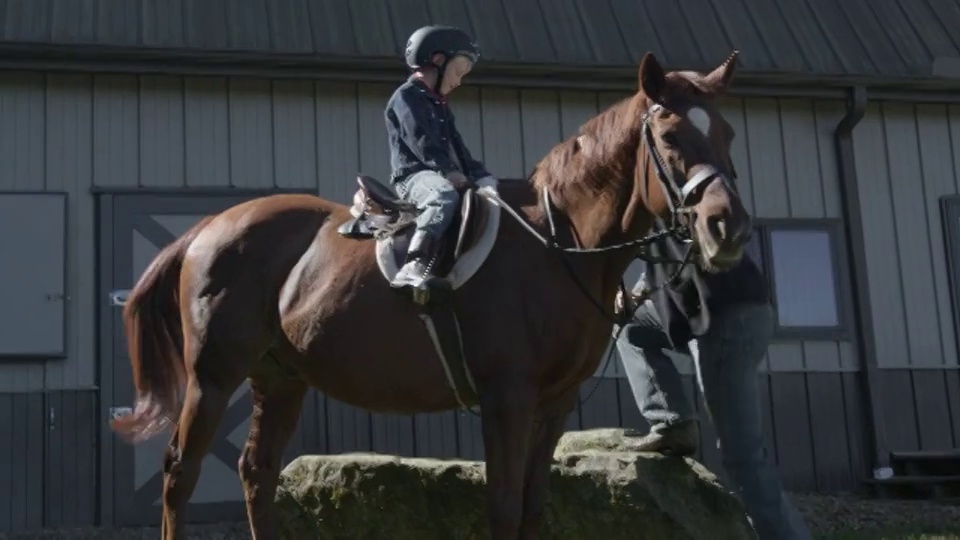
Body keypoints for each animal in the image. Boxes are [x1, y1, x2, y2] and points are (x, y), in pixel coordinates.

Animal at [110, 51, 752, 540]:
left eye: (727, 133)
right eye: (670, 135)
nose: (729, 228)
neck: (558, 242)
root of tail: (208, 227)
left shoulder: (553, 404)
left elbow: (533, 509)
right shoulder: (507, 400)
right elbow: (503, 509)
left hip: (280, 377)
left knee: (257, 471)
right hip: (213, 376)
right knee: (180, 471)